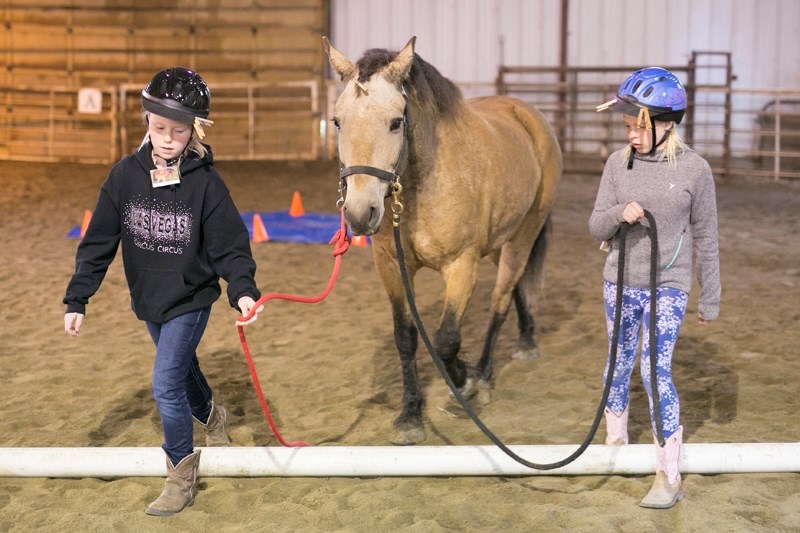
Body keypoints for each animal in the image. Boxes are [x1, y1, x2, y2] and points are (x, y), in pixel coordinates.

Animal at [324, 36, 564, 444]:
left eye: (395, 123)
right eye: (338, 121)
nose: (358, 214)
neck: (423, 183)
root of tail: (528, 116)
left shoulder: (461, 265)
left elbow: (446, 339)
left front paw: (463, 379)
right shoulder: (391, 265)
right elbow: (405, 337)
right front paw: (410, 414)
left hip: (524, 234)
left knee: (500, 300)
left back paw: (484, 375)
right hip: (501, 242)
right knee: (516, 285)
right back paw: (526, 339)